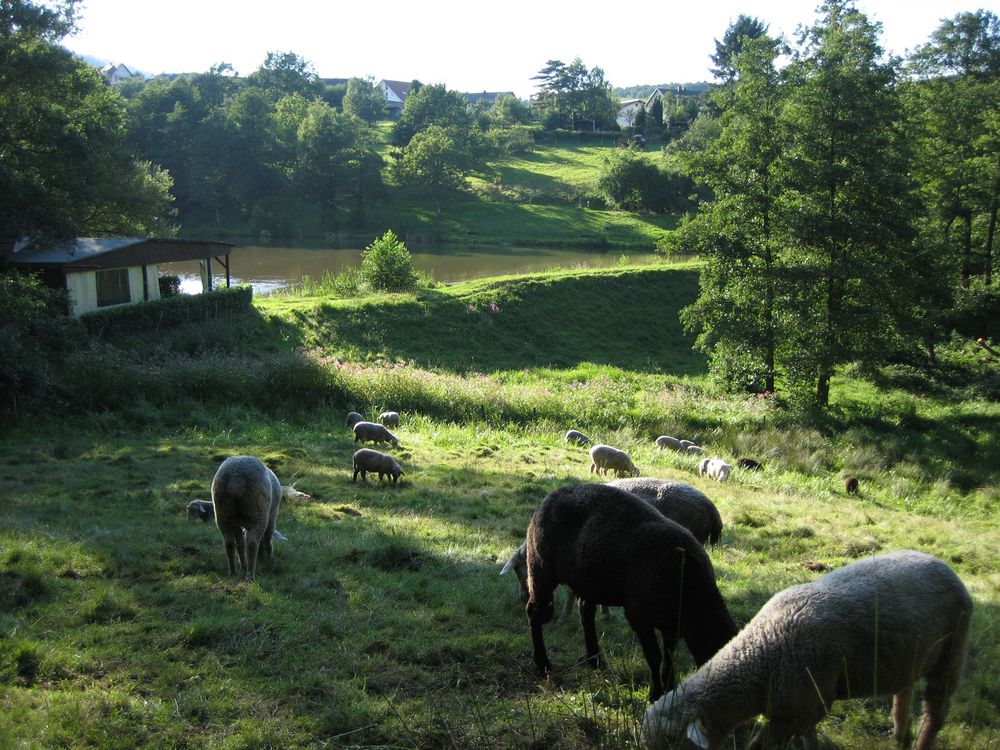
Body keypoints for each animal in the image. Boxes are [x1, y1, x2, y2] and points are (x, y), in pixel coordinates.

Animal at [516, 484, 736, 704]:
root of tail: (553, 494)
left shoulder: (671, 622)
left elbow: (669, 656)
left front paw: (668, 686)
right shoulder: (639, 616)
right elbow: (654, 656)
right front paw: (656, 693)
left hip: (588, 578)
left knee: (586, 612)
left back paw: (595, 660)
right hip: (541, 566)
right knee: (536, 612)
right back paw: (544, 664)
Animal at [644, 548, 972, 750]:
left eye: (670, 741)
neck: (762, 656)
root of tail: (941, 564)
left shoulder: (802, 706)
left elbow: (762, 745)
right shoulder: (802, 706)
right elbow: (808, 738)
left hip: (952, 653)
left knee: (935, 711)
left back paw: (921, 740)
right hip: (910, 656)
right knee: (903, 693)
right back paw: (900, 735)